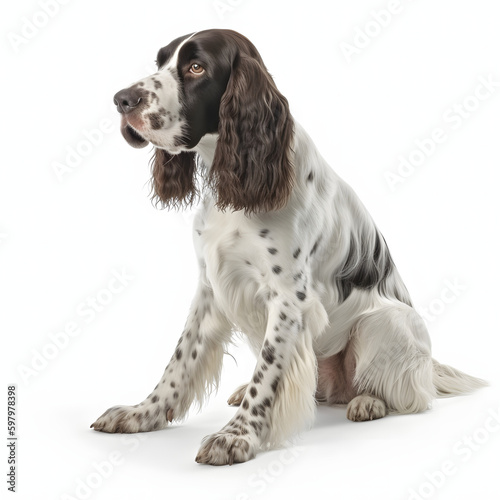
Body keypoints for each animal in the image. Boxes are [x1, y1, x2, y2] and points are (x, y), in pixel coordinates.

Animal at [90, 27, 484, 464]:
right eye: (160, 62)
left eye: (196, 67)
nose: (122, 99)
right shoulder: (211, 287)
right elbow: (180, 361)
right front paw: (142, 413)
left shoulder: (288, 297)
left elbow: (268, 373)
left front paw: (237, 436)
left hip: (384, 321)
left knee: (411, 394)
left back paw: (369, 401)